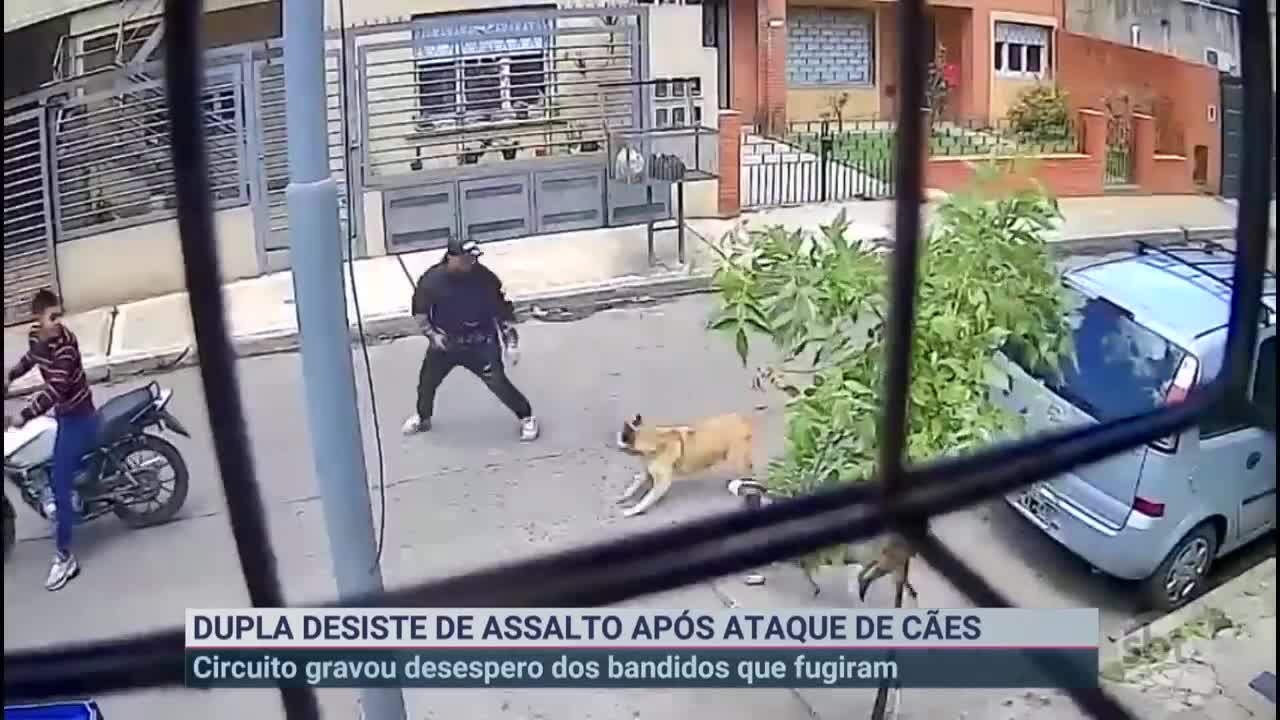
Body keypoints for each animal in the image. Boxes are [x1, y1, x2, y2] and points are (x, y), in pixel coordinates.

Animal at [614, 409, 752, 515]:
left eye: (621, 435)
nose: (615, 439)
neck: (654, 440)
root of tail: (742, 420)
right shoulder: (646, 471)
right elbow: (634, 485)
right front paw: (625, 496)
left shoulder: (662, 483)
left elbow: (646, 499)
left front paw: (633, 509)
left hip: (737, 459)